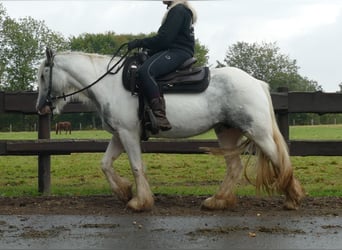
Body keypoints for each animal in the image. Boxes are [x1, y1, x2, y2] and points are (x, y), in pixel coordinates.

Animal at [36, 48, 304, 211]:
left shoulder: (128, 134)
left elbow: (136, 166)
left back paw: (292, 198)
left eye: (42, 76)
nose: (41, 108)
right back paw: (216, 201)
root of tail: (256, 82)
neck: (110, 84)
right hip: (226, 132)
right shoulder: (120, 135)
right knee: (235, 168)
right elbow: (105, 164)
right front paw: (123, 192)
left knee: (279, 159)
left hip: (258, 132)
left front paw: (139, 202)